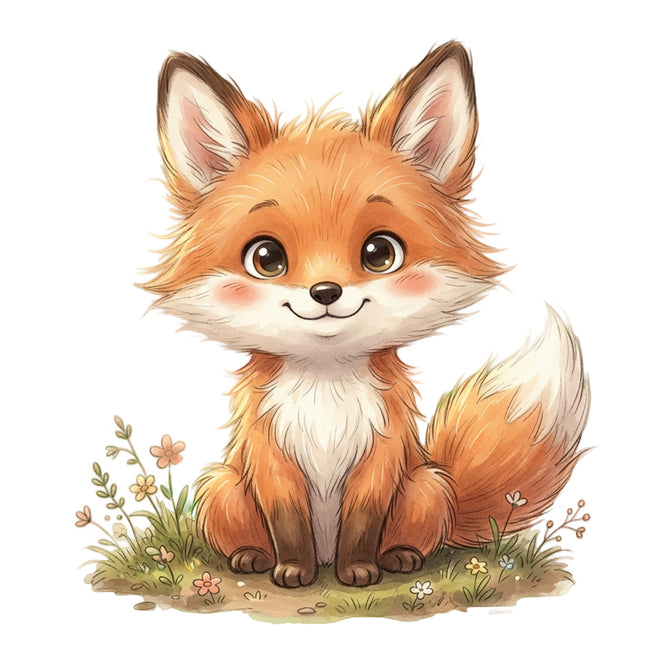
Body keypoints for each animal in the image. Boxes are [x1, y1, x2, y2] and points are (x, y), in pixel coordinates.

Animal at [141, 41, 589, 588]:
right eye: (266, 258)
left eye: (380, 253)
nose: (325, 291)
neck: (324, 391)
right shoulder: (270, 456)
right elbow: (288, 522)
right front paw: (293, 569)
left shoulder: (382, 453)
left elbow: (361, 522)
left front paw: (358, 570)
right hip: (222, 485)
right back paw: (252, 557)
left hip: (426, 485)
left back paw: (399, 558)